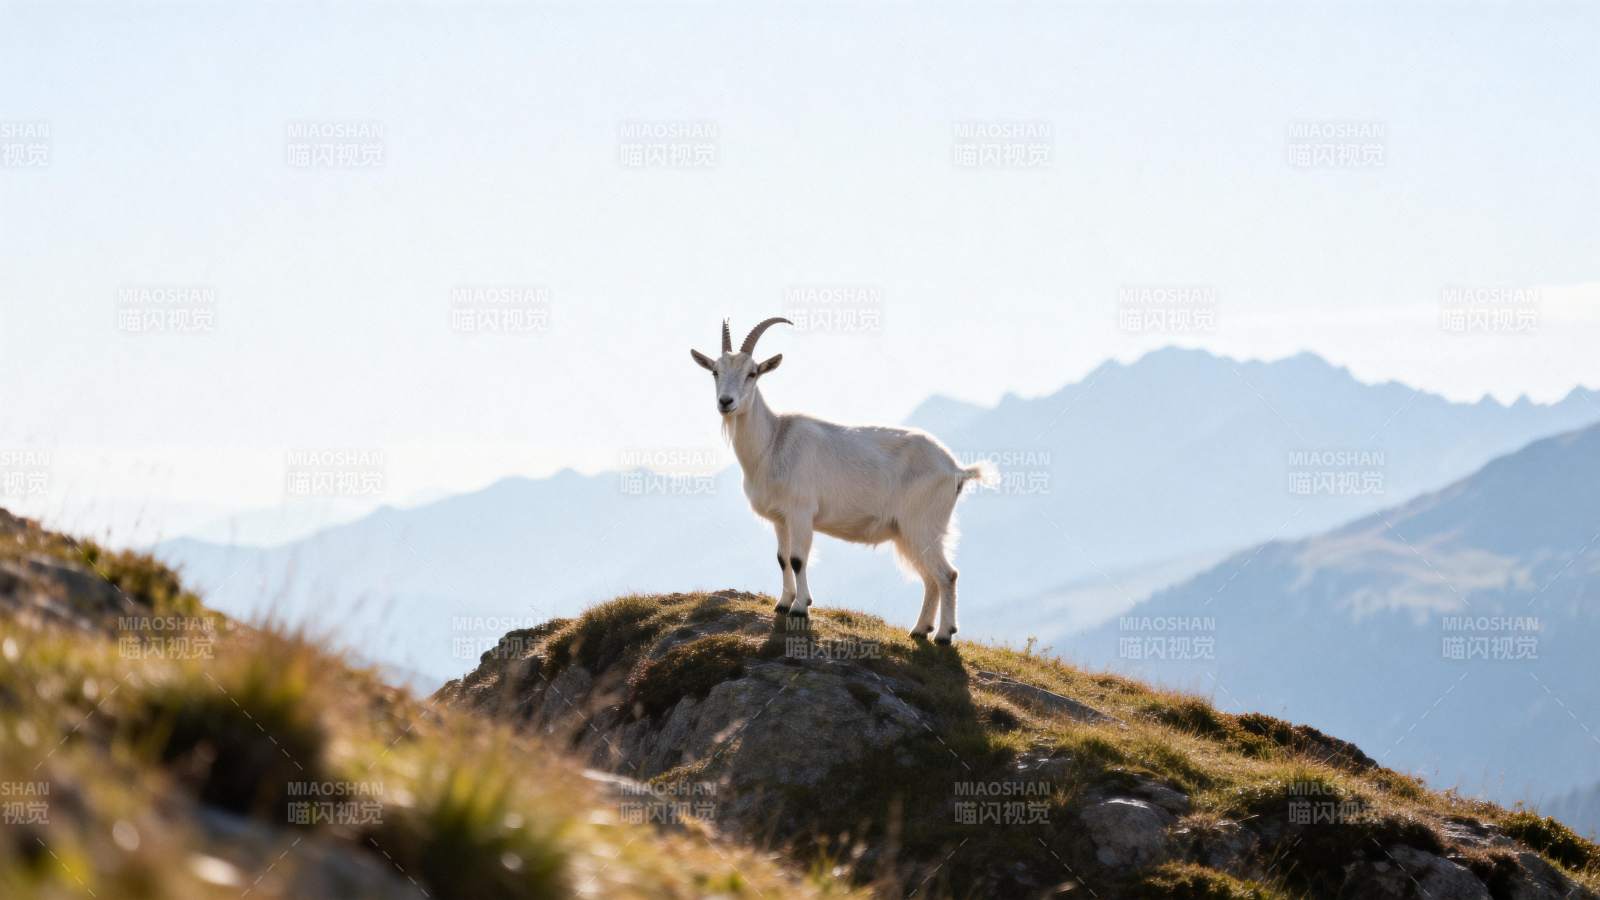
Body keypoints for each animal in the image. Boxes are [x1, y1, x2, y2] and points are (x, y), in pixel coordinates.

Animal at [690, 317, 993, 644]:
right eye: (715, 371)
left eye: (752, 373)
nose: (726, 402)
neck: (773, 442)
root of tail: (955, 469)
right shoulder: (780, 518)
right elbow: (782, 558)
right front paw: (783, 603)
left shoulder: (801, 512)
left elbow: (797, 558)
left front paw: (800, 607)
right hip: (908, 532)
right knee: (930, 578)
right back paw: (920, 630)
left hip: (922, 524)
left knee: (947, 574)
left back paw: (944, 635)